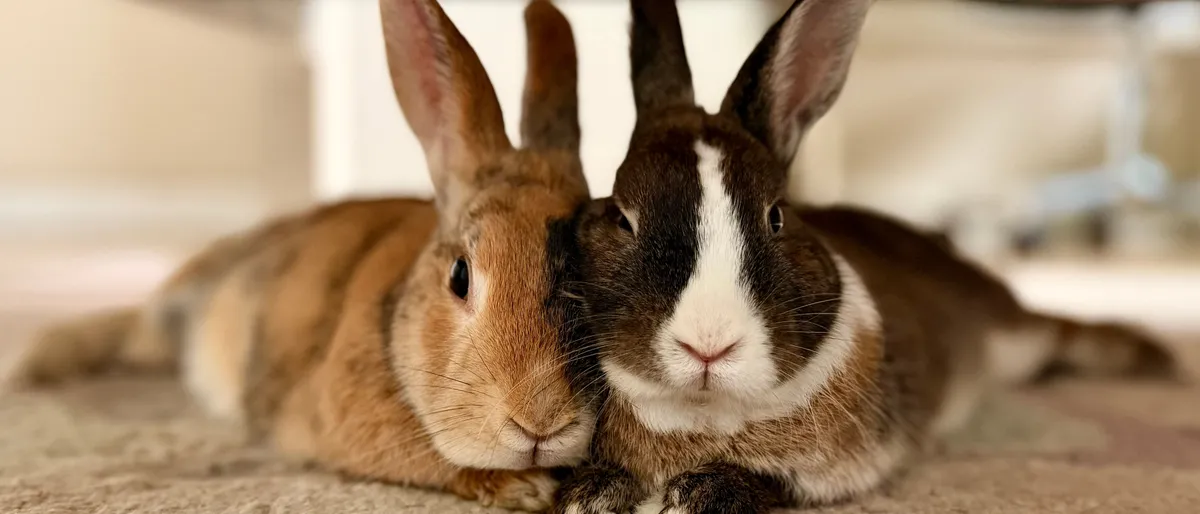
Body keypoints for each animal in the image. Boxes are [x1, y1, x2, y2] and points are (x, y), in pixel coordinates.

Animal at [552, 0, 1179, 513]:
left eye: (777, 216)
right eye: (623, 216)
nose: (709, 345)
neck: (704, 414)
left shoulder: (838, 469)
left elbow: (773, 483)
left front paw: (698, 493)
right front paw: (595, 492)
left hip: (1016, 338)